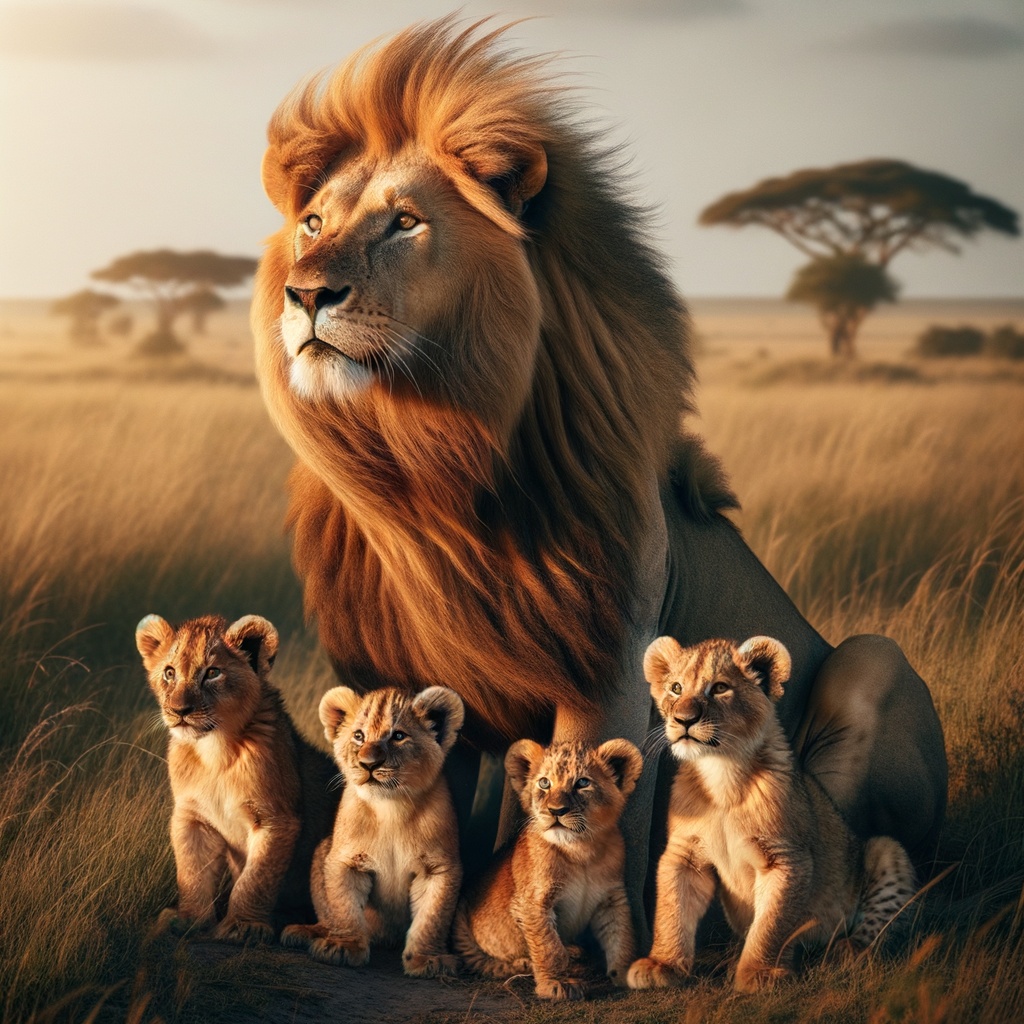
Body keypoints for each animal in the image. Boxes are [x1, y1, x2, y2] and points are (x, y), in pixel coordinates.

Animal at [136, 613, 338, 941]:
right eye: (169, 672)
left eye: (212, 673)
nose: (179, 711)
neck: (215, 751)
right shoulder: (192, 818)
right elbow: (192, 872)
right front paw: (188, 919)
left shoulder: (276, 818)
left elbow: (255, 879)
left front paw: (244, 926)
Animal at [250, 16, 947, 926]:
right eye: (311, 223)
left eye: (404, 222)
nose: (305, 295)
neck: (430, 468)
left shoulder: (607, 671)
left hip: (872, 657)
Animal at [281, 685, 463, 978]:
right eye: (359, 736)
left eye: (398, 736)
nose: (368, 764)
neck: (392, 809)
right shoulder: (345, 860)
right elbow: (343, 907)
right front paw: (344, 947)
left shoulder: (439, 867)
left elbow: (432, 917)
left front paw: (428, 960)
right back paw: (305, 932)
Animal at [454, 738, 641, 1001]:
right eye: (544, 783)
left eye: (582, 783)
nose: (556, 811)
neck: (582, 851)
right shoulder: (531, 903)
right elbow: (549, 948)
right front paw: (555, 985)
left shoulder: (612, 898)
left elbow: (622, 936)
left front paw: (625, 973)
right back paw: (525, 963)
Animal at [629, 635, 918, 992]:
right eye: (676, 688)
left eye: (720, 688)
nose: (684, 720)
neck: (721, 772)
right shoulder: (685, 855)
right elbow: (672, 909)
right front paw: (662, 964)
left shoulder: (787, 858)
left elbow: (772, 923)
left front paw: (759, 973)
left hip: (885, 849)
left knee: (878, 928)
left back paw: (846, 951)